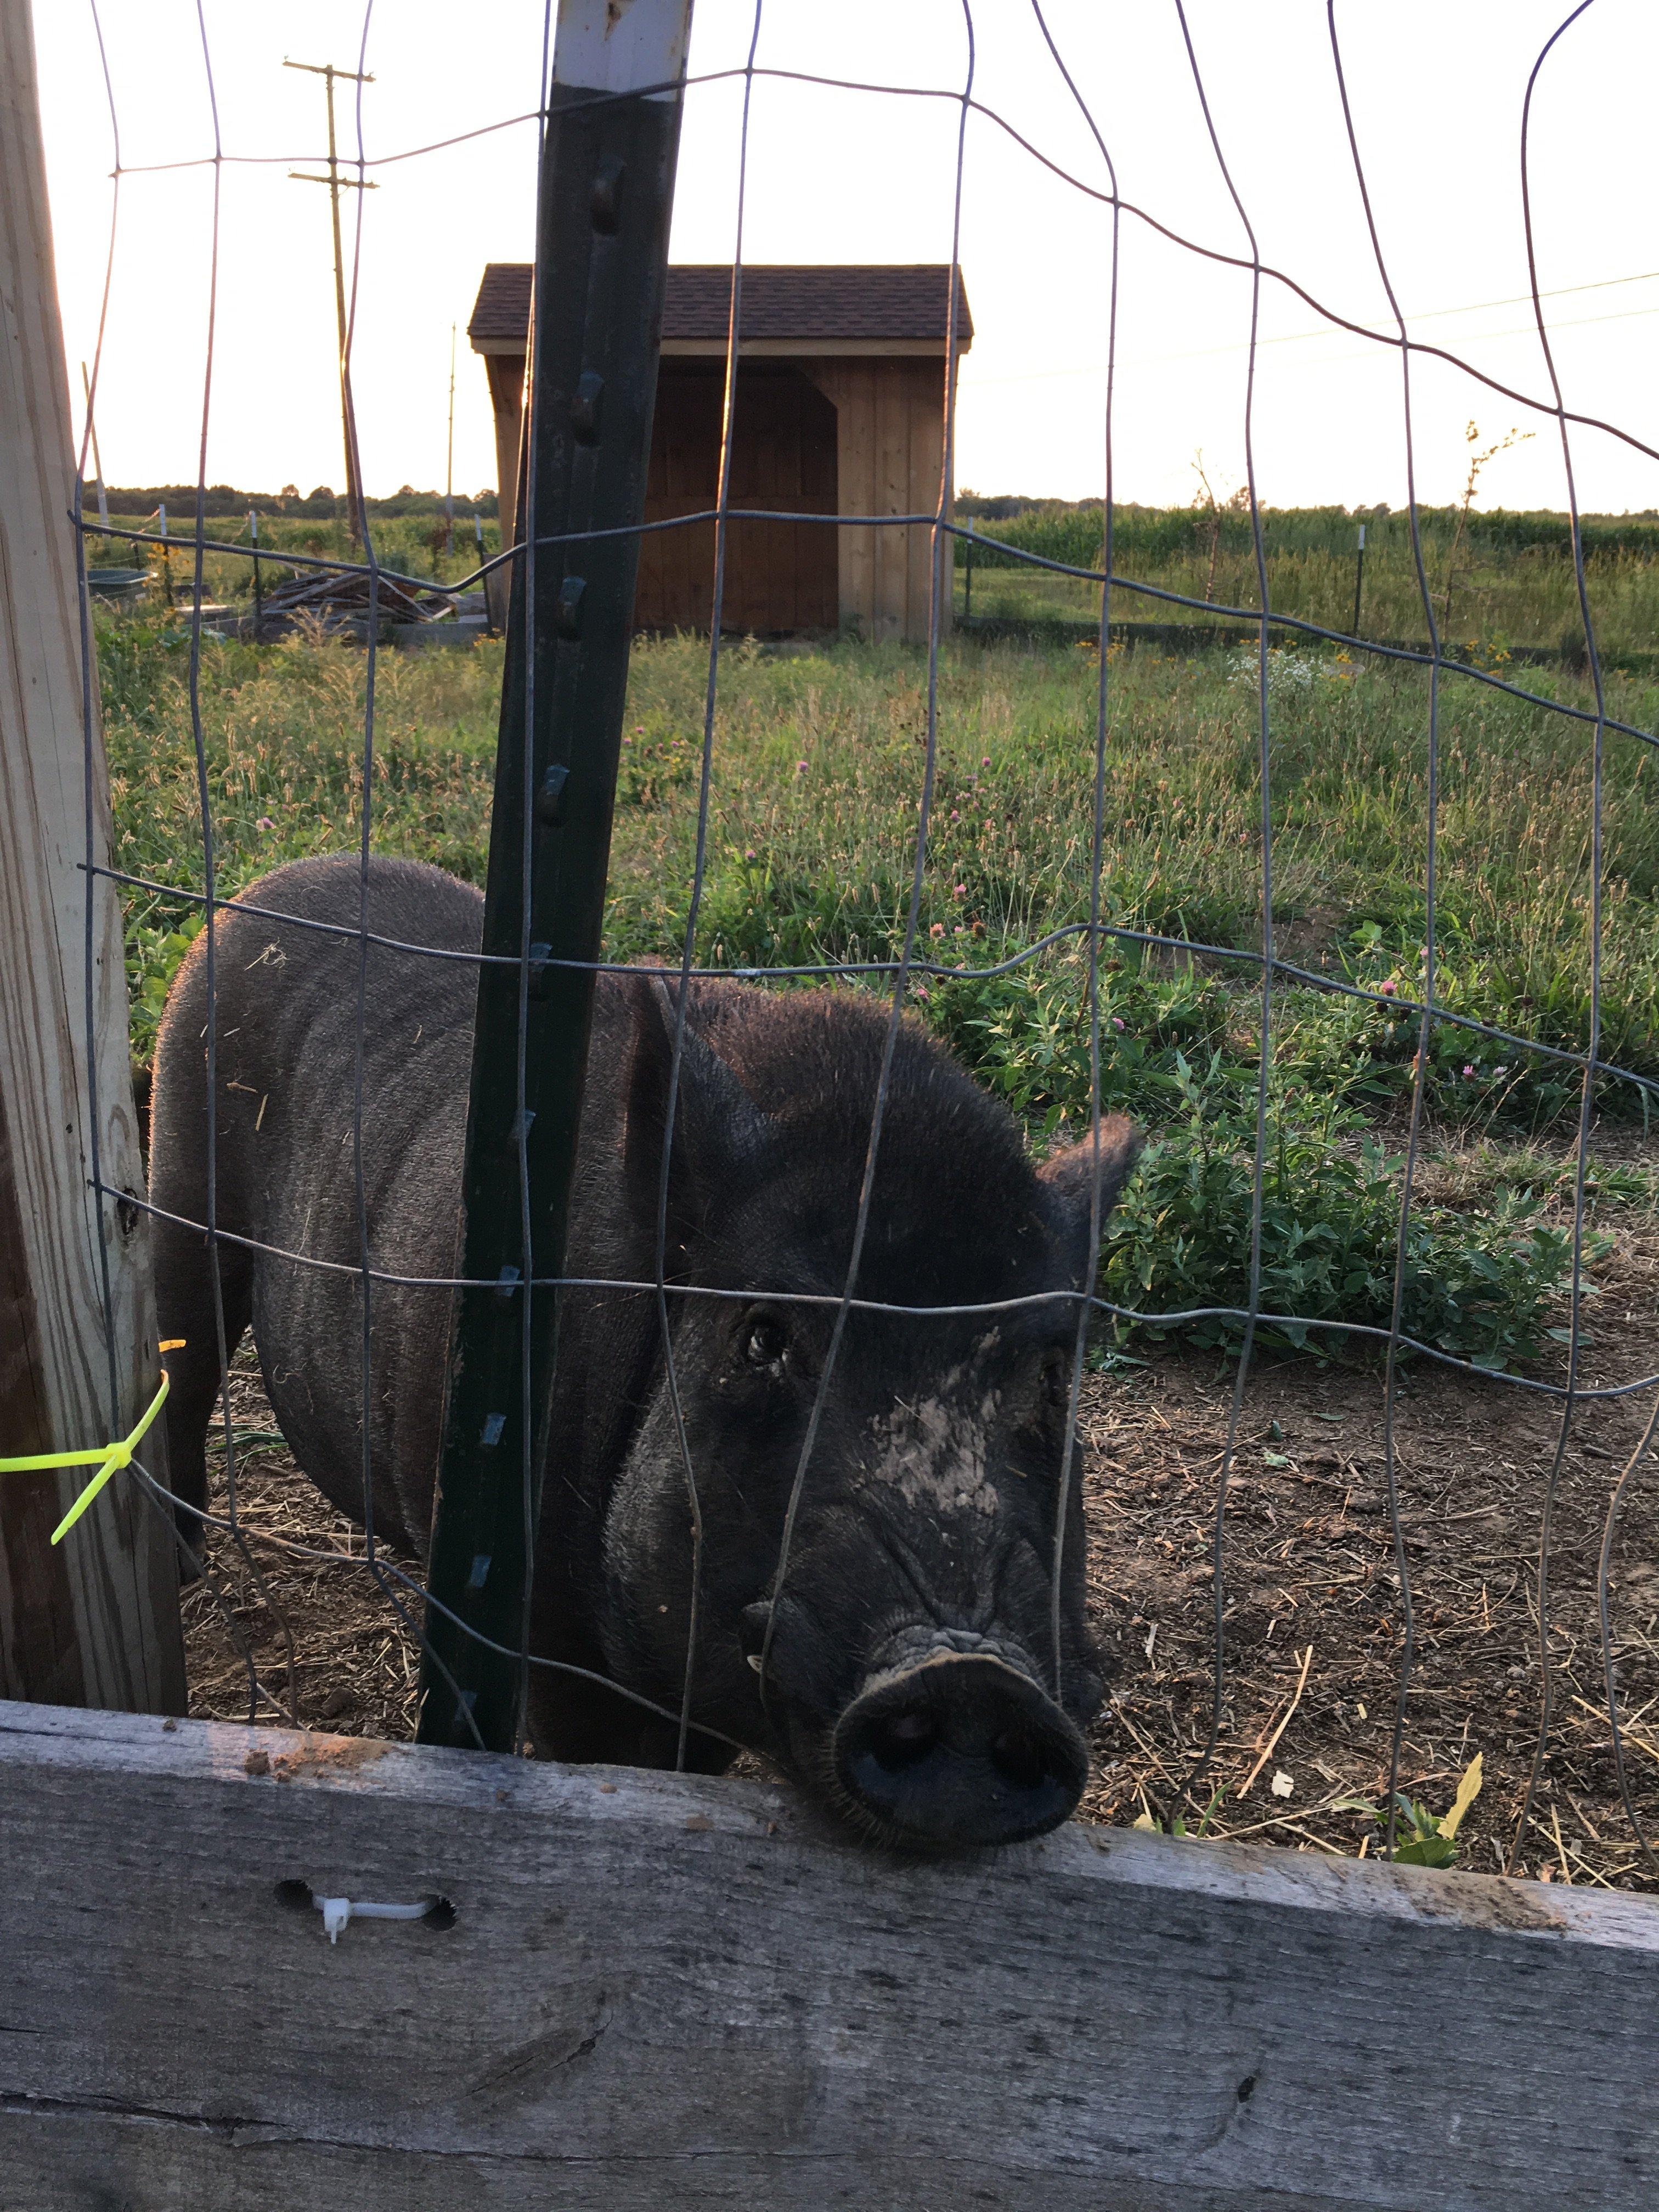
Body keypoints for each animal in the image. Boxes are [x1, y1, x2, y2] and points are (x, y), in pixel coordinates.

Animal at [153, 858, 1141, 1849]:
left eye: (1054, 1375)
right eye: (763, 1336)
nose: (970, 1672)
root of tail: (259, 893)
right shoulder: (545, 1636)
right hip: (180, 1188)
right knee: (181, 1366)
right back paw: (184, 1563)